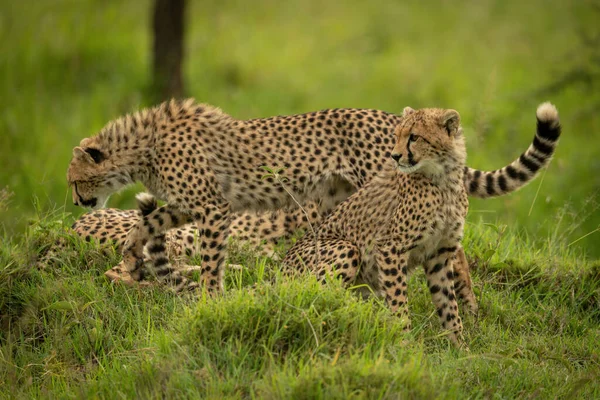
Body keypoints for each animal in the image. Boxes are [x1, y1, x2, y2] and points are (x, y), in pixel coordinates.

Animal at [67, 100, 564, 294]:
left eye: (74, 179)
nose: (75, 201)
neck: (142, 146)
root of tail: (390, 118)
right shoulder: (186, 205)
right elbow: (145, 223)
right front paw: (133, 255)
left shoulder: (212, 208)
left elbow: (210, 261)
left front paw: (210, 296)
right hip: (335, 202)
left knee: (452, 250)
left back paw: (468, 307)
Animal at [284, 103, 560, 346]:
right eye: (396, 135)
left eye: (414, 137)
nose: (395, 155)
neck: (444, 180)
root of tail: (278, 272)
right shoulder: (390, 248)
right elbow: (398, 301)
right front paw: (404, 344)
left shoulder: (440, 253)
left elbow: (448, 304)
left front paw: (459, 348)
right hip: (344, 248)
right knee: (317, 295)